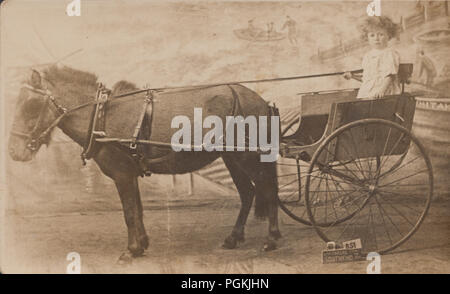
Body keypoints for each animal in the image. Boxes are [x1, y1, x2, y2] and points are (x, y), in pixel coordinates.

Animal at [7, 66, 282, 262]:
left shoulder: (122, 175)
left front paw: (131, 249)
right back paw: (234, 238)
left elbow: (129, 212)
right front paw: (142, 245)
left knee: (268, 191)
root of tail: (261, 101)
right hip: (232, 158)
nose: (13, 151)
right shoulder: (130, 174)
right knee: (248, 193)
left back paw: (271, 239)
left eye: (31, 105)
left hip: (248, 157)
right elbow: (137, 210)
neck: (102, 117)